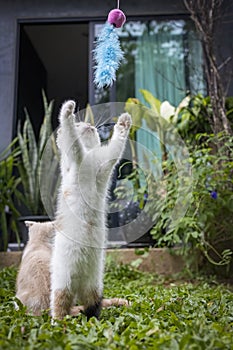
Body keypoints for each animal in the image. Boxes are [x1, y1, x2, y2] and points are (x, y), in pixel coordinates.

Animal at [50, 100, 131, 320]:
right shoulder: (76, 154)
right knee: (59, 307)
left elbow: (117, 145)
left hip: (94, 286)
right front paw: (68, 110)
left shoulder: (106, 164)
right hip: (62, 285)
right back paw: (58, 323)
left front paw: (124, 121)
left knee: (92, 307)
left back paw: (94, 320)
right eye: (79, 124)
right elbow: (71, 135)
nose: (89, 125)